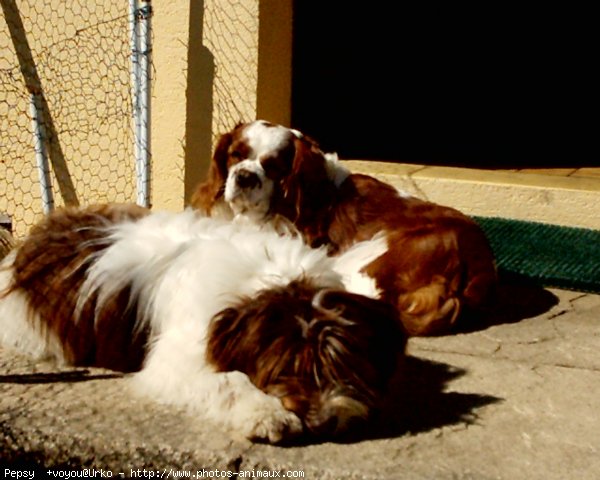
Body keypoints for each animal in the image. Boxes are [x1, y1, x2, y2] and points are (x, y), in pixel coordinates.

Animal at [0, 204, 408, 444]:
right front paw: (266, 414)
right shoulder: (176, 358)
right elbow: (226, 380)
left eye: (344, 364)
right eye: (284, 369)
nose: (325, 421)